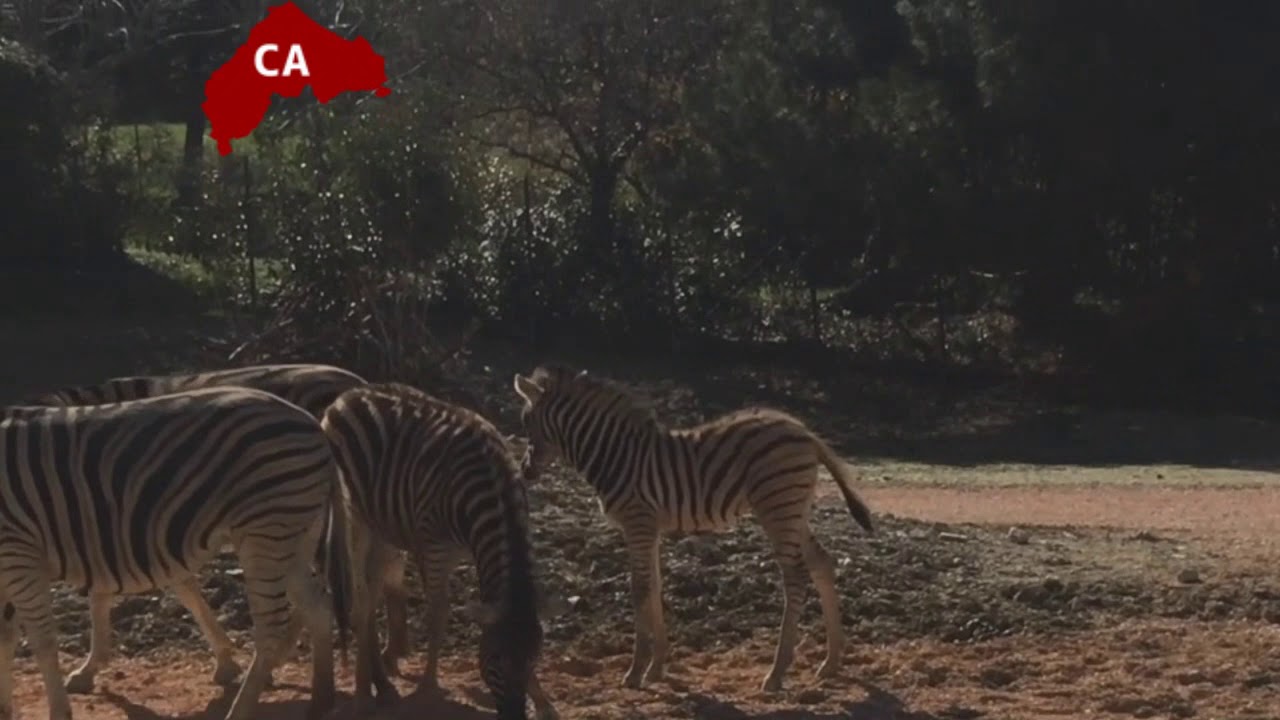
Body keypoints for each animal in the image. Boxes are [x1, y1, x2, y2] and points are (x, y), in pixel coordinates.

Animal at [0, 386, 338, 720]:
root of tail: (310, 420)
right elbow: (6, 639)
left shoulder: (19, 554)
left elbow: (42, 641)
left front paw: (59, 710)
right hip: (291, 536)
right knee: (318, 607)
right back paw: (321, 700)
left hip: (266, 530)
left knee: (271, 627)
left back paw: (241, 710)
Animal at [18, 363, 413, 693]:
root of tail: (359, 383)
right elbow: (179, 588)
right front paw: (226, 660)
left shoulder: (127, 525)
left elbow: (115, 595)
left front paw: (87, 670)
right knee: (376, 573)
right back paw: (384, 661)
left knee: (352, 584)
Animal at [323, 383, 562, 720]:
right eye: (495, 659)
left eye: (533, 659)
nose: (515, 715)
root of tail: (350, 393)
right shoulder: (435, 547)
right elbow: (438, 613)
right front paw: (428, 686)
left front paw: (543, 702)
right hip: (352, 517)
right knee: (360, 599)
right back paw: (363, 695)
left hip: (382, 525)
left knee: (371, 594)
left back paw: (380, 684)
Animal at [511, 365, 876, 693]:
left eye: (526, 422)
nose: (524, 472)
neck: (615, 455)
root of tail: (805, 432)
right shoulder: (650, 528)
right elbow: (655, 586)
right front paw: (657, 667)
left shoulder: (638, 522)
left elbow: (639, 588)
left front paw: (635, 671)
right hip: (793, 510)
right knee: (821, 563)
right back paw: (830, 662)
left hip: (778, 507)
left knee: (796, 577)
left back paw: (776, 673)